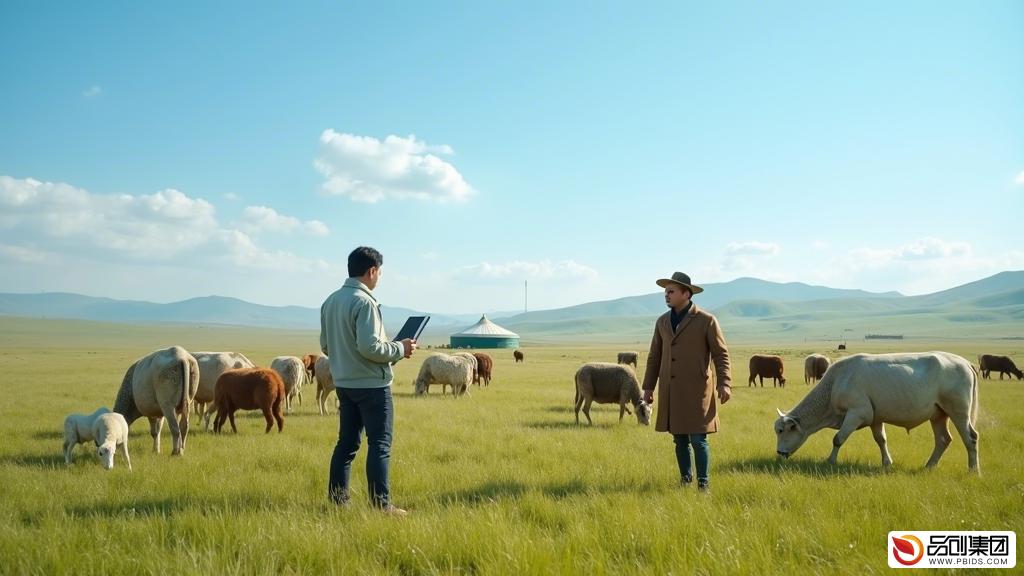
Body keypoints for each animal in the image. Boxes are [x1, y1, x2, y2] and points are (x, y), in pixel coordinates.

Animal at [770, 350, 978, 471]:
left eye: (781, 431)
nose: (779, 453)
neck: (836, 382)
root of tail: (965, 363)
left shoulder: (856, 413)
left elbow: (838, 439)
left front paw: (830, 461)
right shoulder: (875, 418)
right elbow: (881, 440)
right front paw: (887, 463)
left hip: (958, 411)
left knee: (971, 438)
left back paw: (973, 470)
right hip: (939, 415)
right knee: (943, 440)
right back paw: (929, 466)